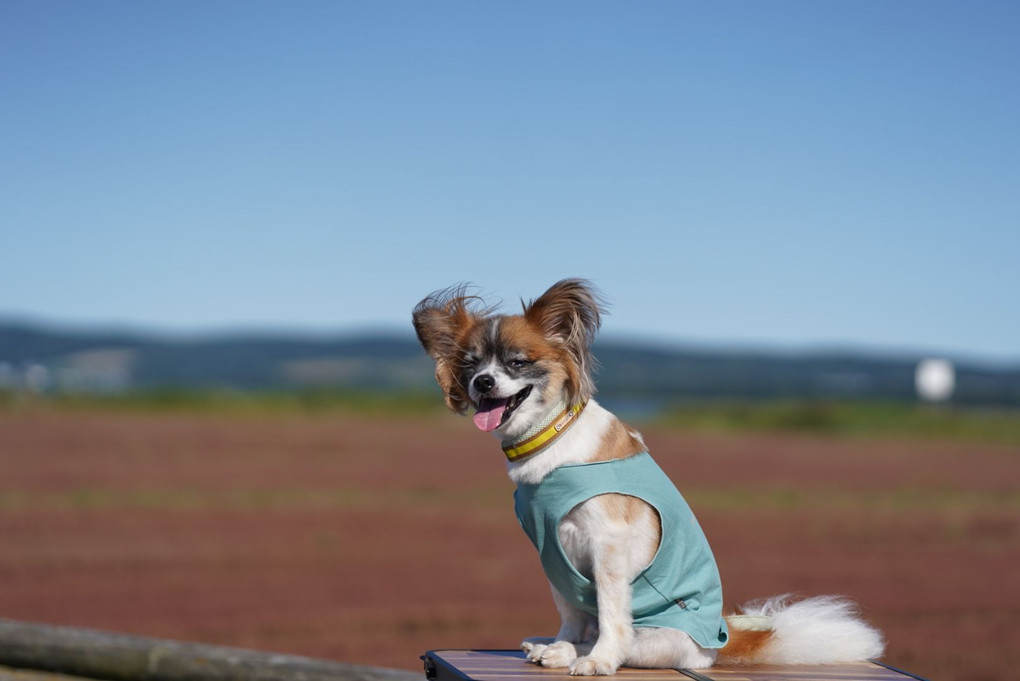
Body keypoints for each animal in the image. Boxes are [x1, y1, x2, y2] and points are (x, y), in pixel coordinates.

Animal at [414, 279, 885, 672]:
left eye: (517, 363)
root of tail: (718, 643)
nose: (482, 382)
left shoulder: (605, 545)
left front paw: (600, 661)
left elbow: (610, 614)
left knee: (628, 641)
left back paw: (585, 654)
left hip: (660, 636)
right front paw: (564, 643)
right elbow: (571, 612)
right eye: (469, 365)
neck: (551, 439)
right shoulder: (552, 553)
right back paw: (554, 648)